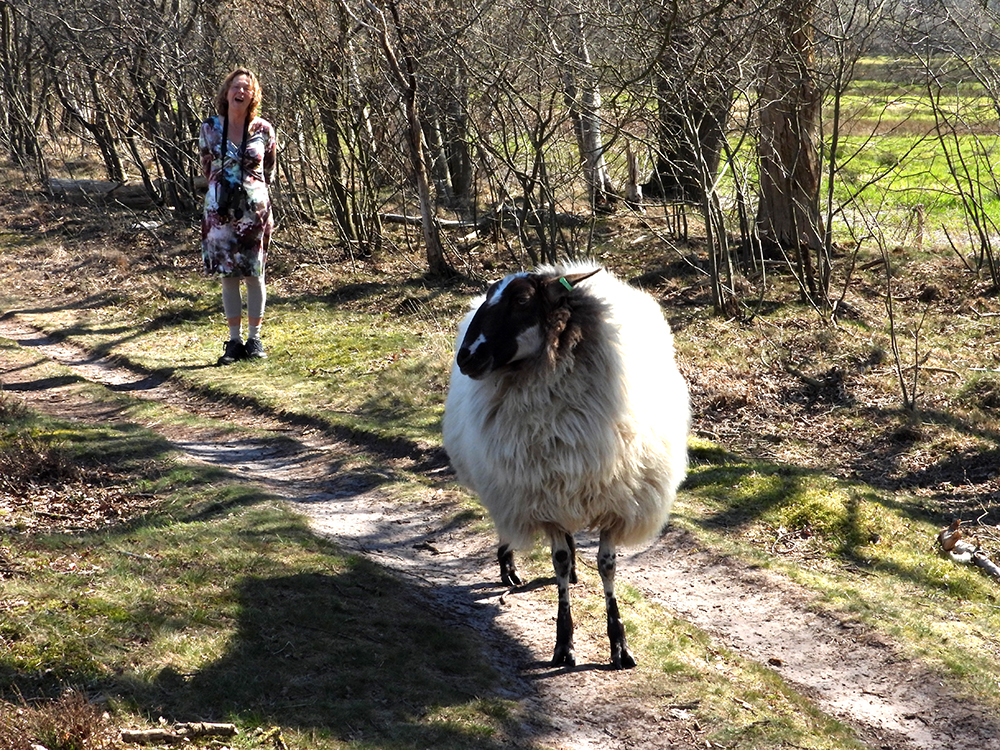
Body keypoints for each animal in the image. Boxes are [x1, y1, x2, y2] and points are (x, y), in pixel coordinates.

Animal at [442, 260, 692, 668]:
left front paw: (619, 644)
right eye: (493, 294)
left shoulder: (615, 502)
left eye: (522, 300)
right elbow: (557, 560)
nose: (467, 358)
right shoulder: (544, 498)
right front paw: (564, 642)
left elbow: (607, 566)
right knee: (506, 523)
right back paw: (509, 566)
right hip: (507, 479)